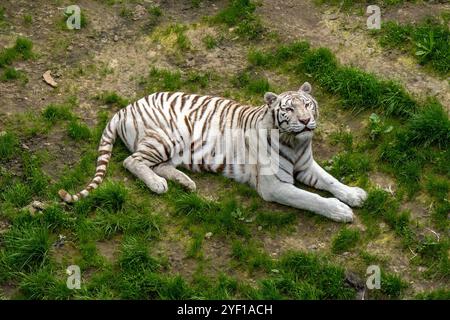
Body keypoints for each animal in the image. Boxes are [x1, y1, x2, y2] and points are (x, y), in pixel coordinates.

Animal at [59, 82, 368, 222]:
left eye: (308, 105)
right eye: (289, 109)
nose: (305, 121)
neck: (296, 141)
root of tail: (125, 107)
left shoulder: (305, 165)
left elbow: (330, 180)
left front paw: (354, 194)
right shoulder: (274, 186)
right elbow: (310, 198)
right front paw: (340, 210)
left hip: (172, 148)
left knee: (158, 164)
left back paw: (186, 183)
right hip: (163, 138)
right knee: (131, 161)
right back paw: (158, 185)